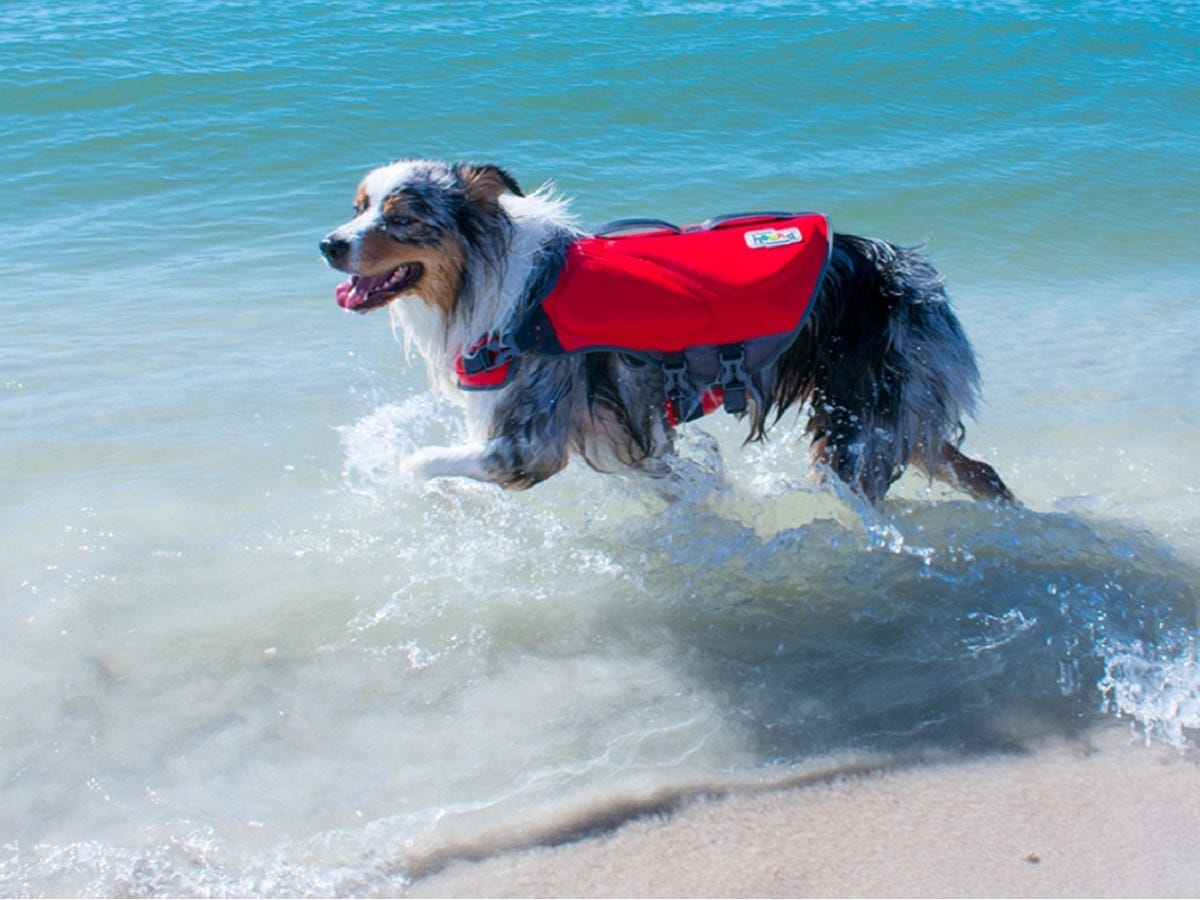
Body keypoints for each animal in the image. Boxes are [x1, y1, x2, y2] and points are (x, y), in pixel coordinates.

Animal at [319, 160, 1012, 508]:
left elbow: (418, 460)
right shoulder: (622, 438)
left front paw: (392, 481)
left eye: (402, 218)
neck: (490, 277)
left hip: (861, 419)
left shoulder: (529, 441)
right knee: (980, 472)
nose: (328, 244)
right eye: (358, 208)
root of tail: (915, 275)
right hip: (900, 414)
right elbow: (677, 480)